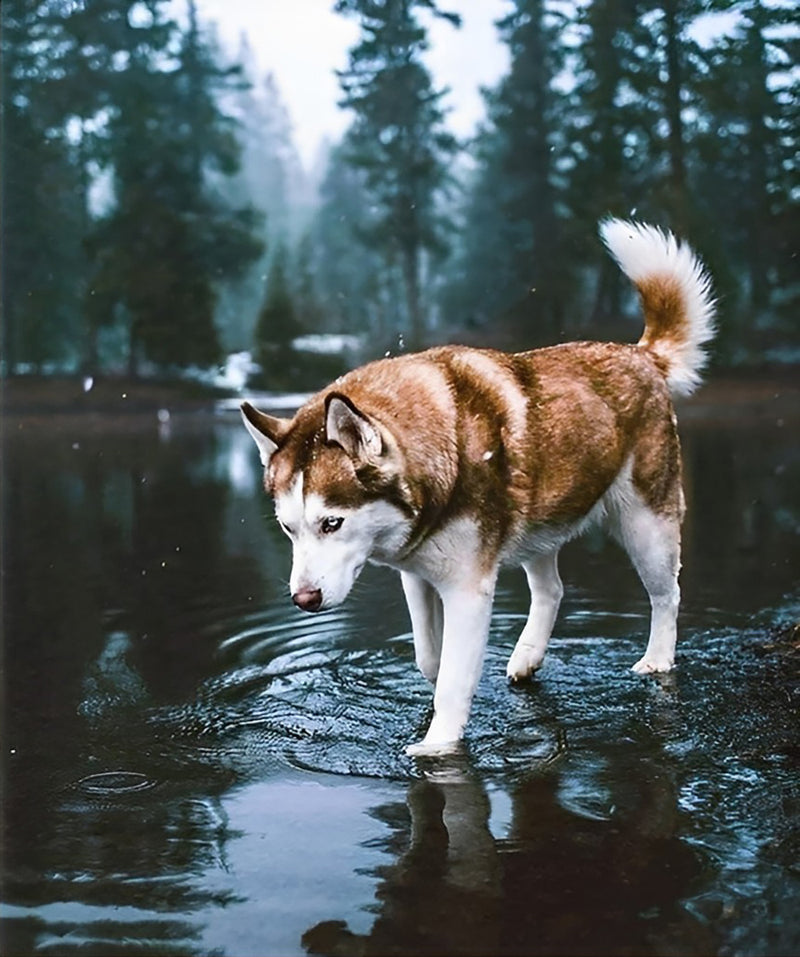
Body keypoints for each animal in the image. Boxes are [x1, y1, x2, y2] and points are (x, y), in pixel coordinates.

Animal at [241, 222, 716, 756]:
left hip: (645, 524)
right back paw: (527, 656)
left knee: (667, 594)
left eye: (332, 523)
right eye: (288, 528)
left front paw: (437, 745)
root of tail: (641, 354)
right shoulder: (416, 572)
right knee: (552, 589)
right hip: (541, 523)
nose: (303, 600)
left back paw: (657, 659)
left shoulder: (469, 587)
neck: (440, 456)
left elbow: (451, 677)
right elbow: (430, 655)